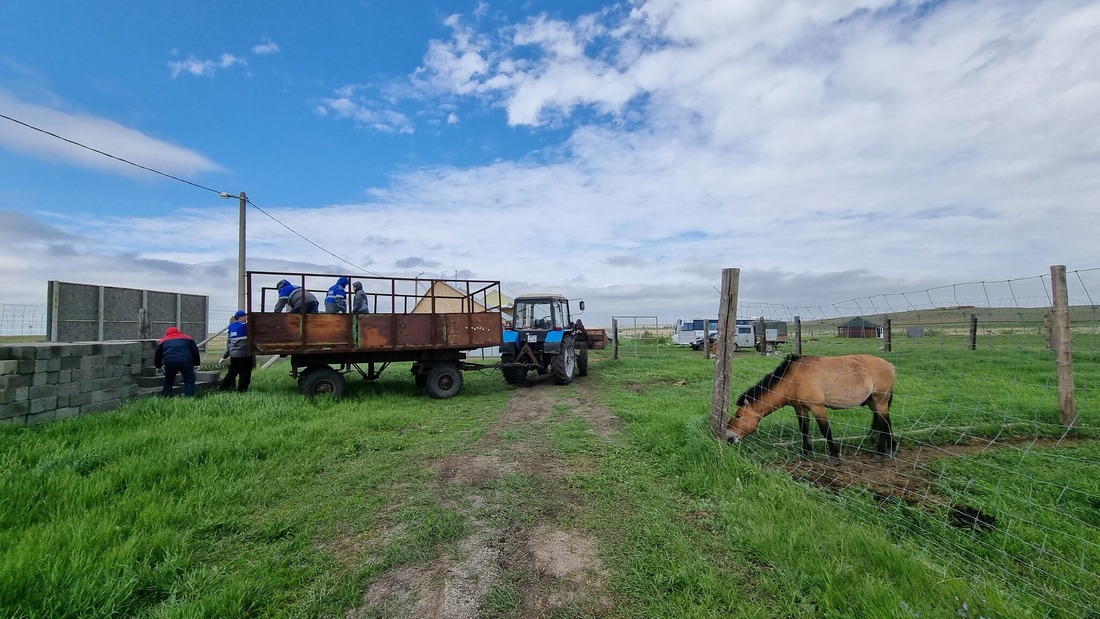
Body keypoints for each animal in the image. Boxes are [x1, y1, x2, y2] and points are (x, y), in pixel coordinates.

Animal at [726, 356, 897, 461]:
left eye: (739, 416)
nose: (729, 438)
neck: (794, 379)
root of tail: (889, 365)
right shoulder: (800, 409)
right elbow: (804, 429)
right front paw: (805, 452)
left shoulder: (818, 408)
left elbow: (825, 430)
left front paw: (834, 456)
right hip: (873, 403)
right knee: (885, 423)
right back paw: (888, 449)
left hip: (880, 401)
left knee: (884, 424)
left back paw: (883, 452)